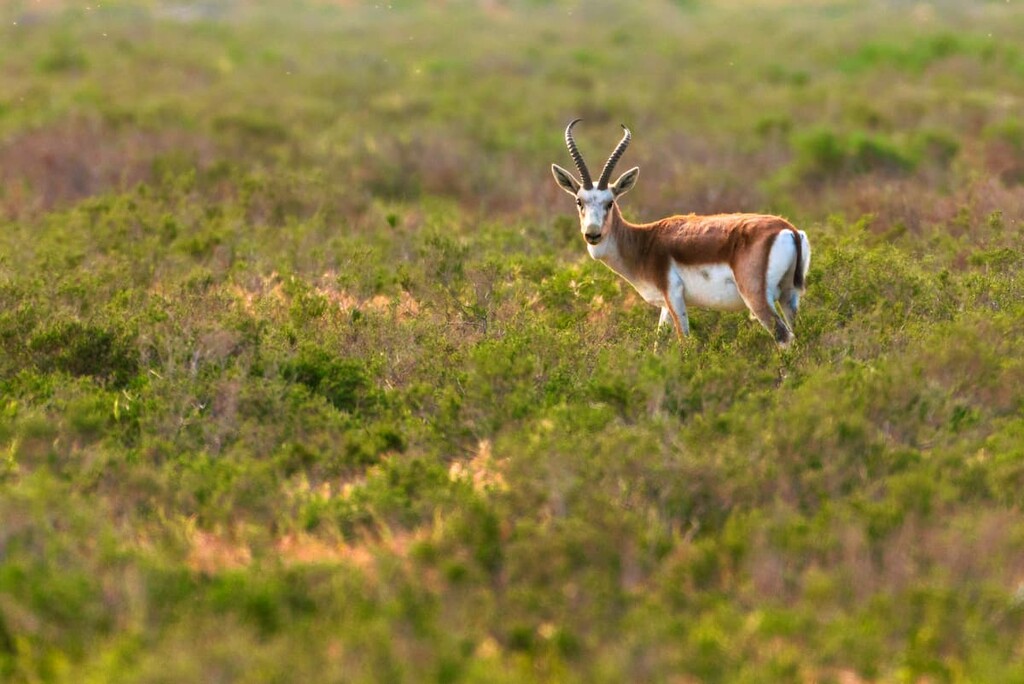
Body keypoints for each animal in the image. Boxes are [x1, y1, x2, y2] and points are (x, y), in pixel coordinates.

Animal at [551, 119, 811, 347]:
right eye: (579, 201)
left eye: (610, 202)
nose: (592, 234)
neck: (645, 242)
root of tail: (788, 229)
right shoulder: (666, 306)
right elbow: (658, 345)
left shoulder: (674, 296)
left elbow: (684, 342)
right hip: (789, 297)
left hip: (757, 298)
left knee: (784, 337)